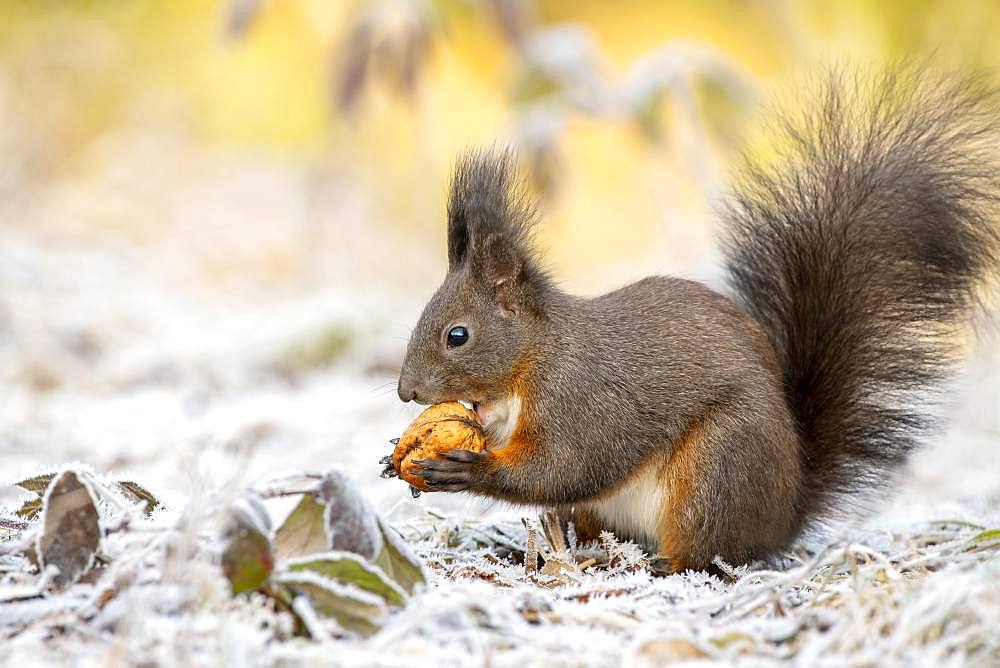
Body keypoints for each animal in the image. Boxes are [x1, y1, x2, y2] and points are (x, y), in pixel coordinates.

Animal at [394, 68, 1000, 572]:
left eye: (457, 336)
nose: (406, 392)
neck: (530, 362)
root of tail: (783, 516)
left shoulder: (582, 399)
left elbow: (566, 465)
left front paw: (464, 470)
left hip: (715, 470)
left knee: (706, 553)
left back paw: (657, 566)